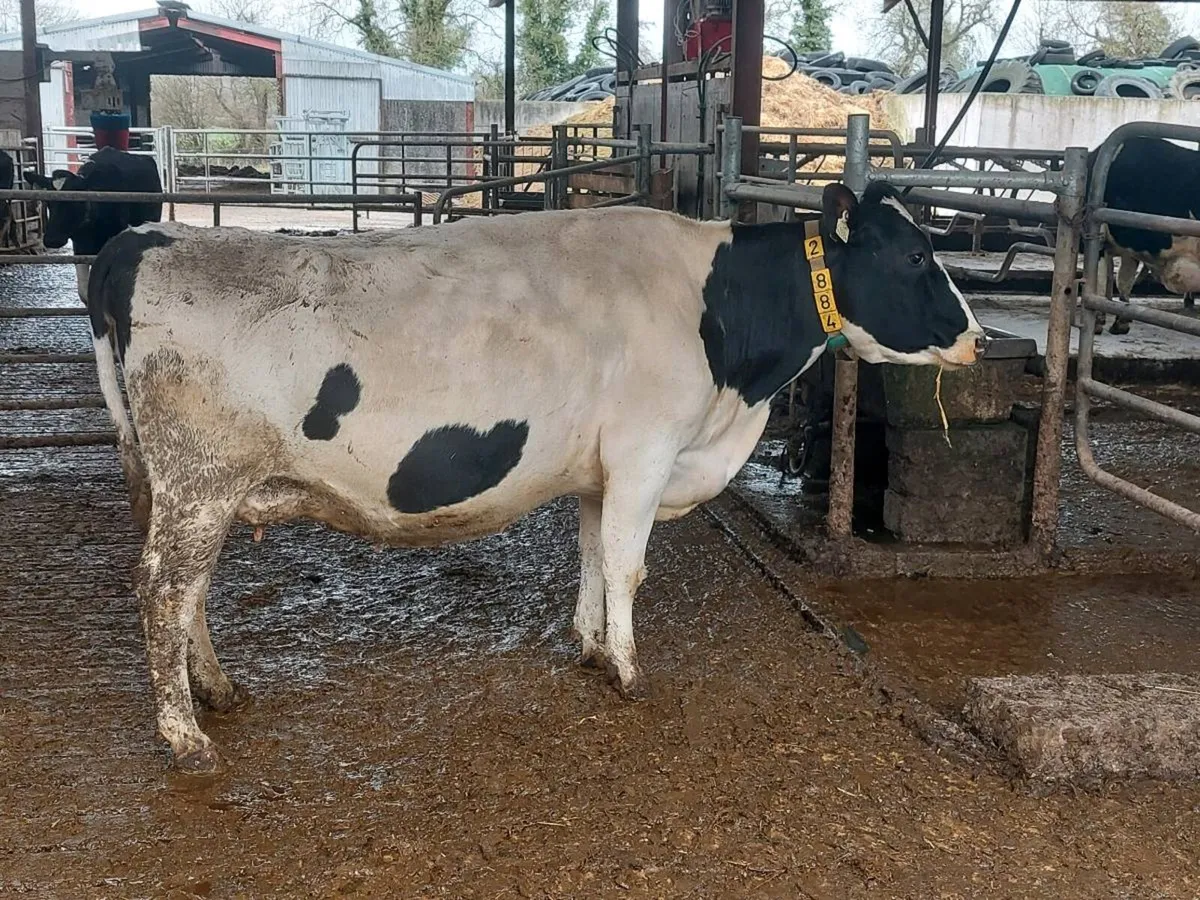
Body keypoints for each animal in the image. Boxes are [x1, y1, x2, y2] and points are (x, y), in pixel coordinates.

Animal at [85, 183, 984, 773]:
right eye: (915, 253)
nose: (976, 337)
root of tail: (142, 239)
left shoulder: (600, 468)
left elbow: (591, 557)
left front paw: (590, 647)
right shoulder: (647, 451)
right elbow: (628, 565)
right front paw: (629, 671)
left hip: (189, 486)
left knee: (188, 593)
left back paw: (217, 690)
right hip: (200, 479)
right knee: (164, 590)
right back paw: (185, 736)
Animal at [1089, 136, 1200, 335]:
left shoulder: (1101, 237)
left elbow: (1101, 281)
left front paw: (1098, 322)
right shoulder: (1129, 247)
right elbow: (1122, 280)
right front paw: (1121, 321)